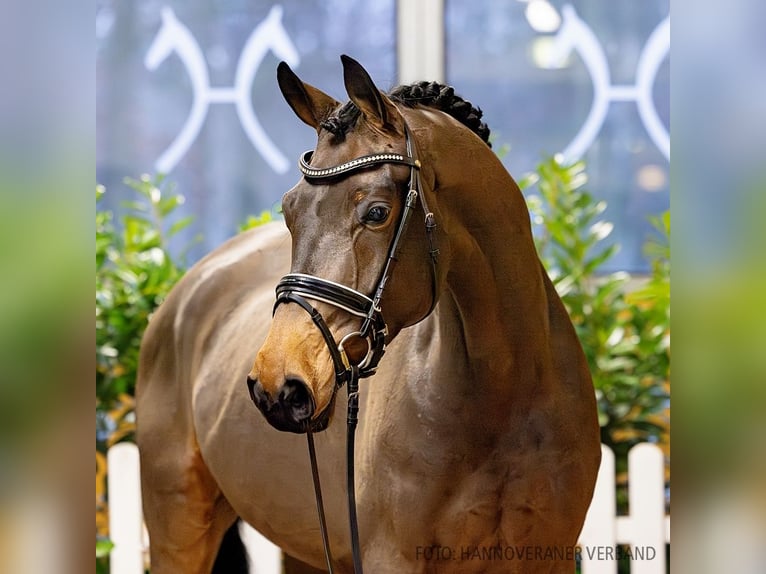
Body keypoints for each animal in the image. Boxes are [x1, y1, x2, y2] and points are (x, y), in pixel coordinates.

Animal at [140, 55, 608, 574]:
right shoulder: (393, 557)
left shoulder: (550, 555)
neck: (503, 392)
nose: (277, 384)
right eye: (289, 209)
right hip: (178, 527)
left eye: (378, 212)